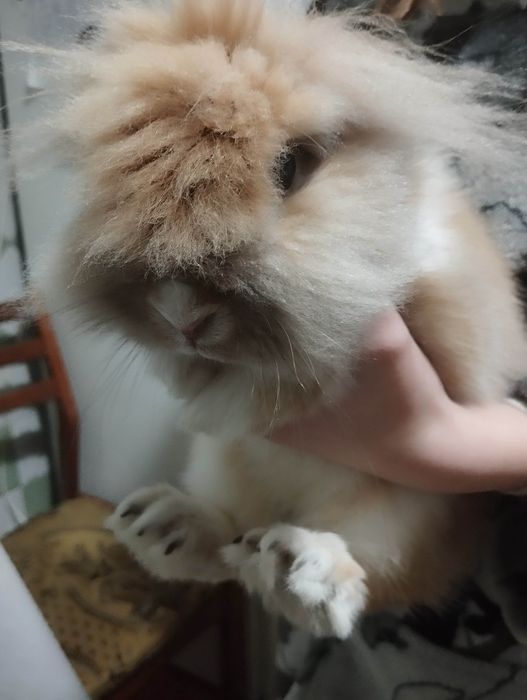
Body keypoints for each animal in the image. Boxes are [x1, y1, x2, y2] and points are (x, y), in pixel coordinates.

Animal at [32, 0, 527, 639]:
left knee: (366, 578)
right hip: (222, 466)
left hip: (410, 511)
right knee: (232, 541)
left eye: (289, 169)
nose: (182, 317)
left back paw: (302, 570)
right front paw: (190, 373)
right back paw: (163, 526)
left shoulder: (436, 301)